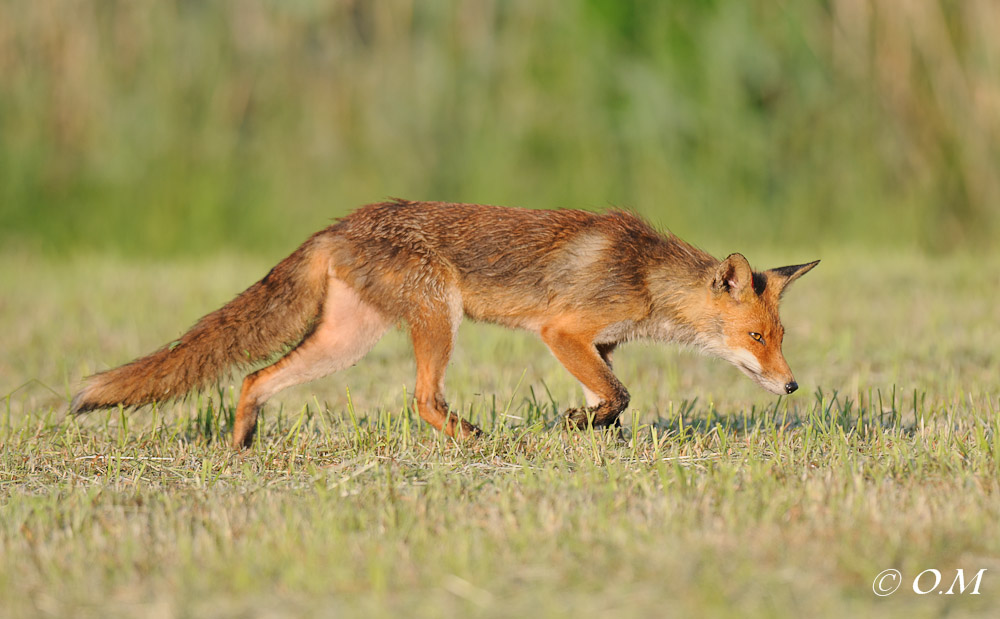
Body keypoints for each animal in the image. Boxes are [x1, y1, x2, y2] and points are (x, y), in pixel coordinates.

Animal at [71, 200, 818, 448]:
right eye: (756, 339)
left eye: (781, 339)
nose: (791, 387)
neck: (644, 277)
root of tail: (339, 223)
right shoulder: (561, 332)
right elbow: (619, 394)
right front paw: (577, 427)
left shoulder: (596, 343)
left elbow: (611, 399)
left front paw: (591, 433)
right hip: (439, 317)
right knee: (424, 400)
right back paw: (477, 441)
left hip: (347, 340)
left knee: (255, 376)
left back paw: (242, 445)